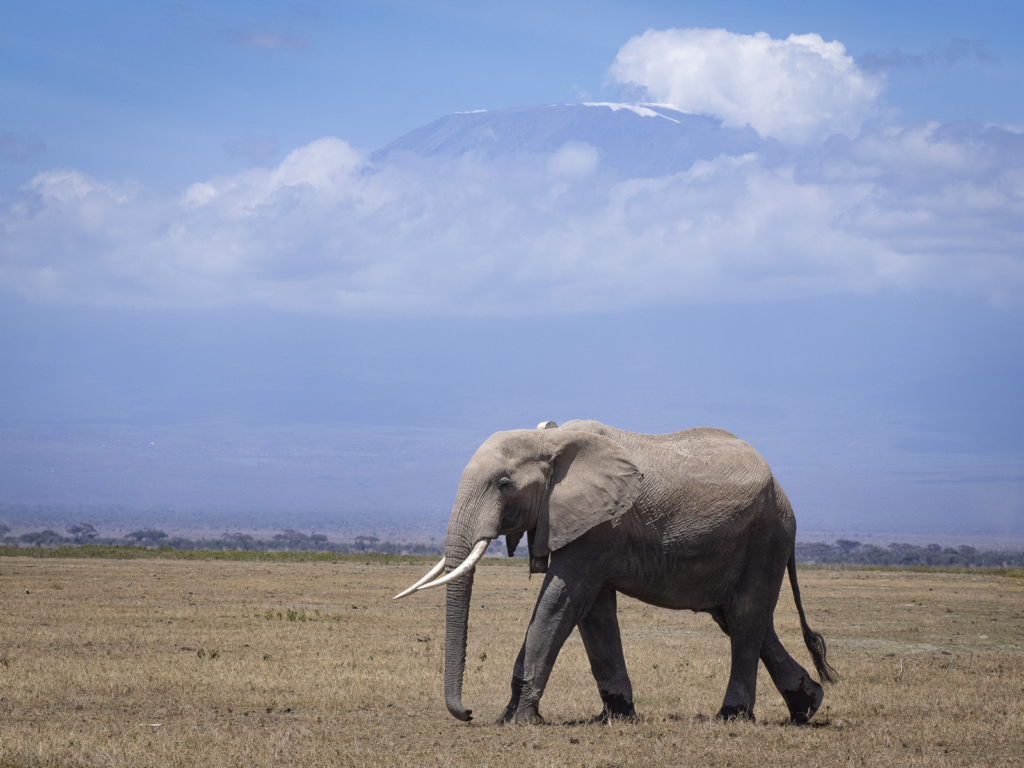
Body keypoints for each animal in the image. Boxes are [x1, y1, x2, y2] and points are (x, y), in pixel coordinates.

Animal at [395, 421, 835, 729]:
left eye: (504, 484)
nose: (468, 712)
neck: (552, 441)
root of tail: (782, 492)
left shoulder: (602, 525)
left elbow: (561, 602)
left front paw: (515, 721)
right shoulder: (589, 524)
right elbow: (593, 613)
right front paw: (616, 717)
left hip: (766, 536)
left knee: (745, 618)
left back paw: (731, 716)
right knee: (740, 619)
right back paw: (809, 706)